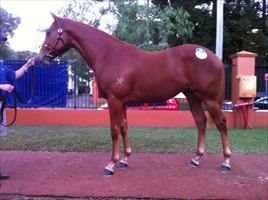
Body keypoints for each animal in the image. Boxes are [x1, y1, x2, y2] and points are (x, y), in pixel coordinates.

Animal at [36, 14, 231, 176]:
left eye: (49, 32)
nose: (40, 58)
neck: (110, 55)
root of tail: (213, 57)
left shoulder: (114, 101)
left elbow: (114, 130)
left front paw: (111, 165)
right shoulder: (122, 102)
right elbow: (124, 127)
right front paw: (124, 159)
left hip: (210, 99)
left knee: (221, 123)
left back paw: (226, 162)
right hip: (193, 97)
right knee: (201, 122)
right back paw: (196, 159)